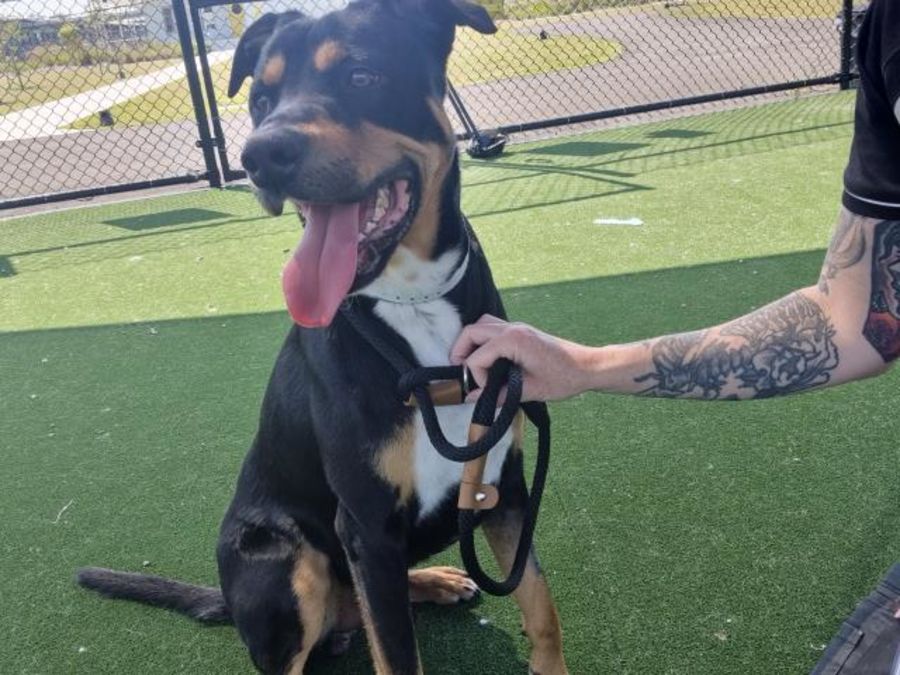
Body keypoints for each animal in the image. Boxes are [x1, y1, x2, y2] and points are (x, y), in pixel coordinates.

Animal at [77, 1, 567, 673]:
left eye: (361, 75)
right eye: (261, 99)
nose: (259, 155)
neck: (412, 303)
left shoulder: (505, 489)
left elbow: (542, 607)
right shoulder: (365, 524)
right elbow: (399, 654)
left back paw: (435, 581)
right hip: (290, 561)